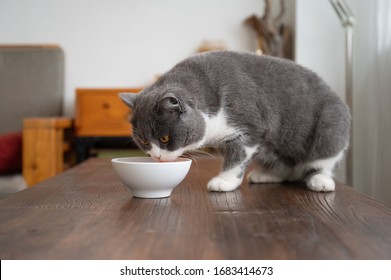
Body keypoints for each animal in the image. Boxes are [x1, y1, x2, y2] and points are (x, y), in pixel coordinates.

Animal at [121, 50, 350, 192]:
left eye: (165, 138)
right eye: (144, 141)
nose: (157, 157)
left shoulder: (247, 128)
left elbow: (237, 157)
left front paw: (224, 182)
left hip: (330, 127)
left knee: (323, 161)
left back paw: (320, 181)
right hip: (272, 150)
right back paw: (267, 175)